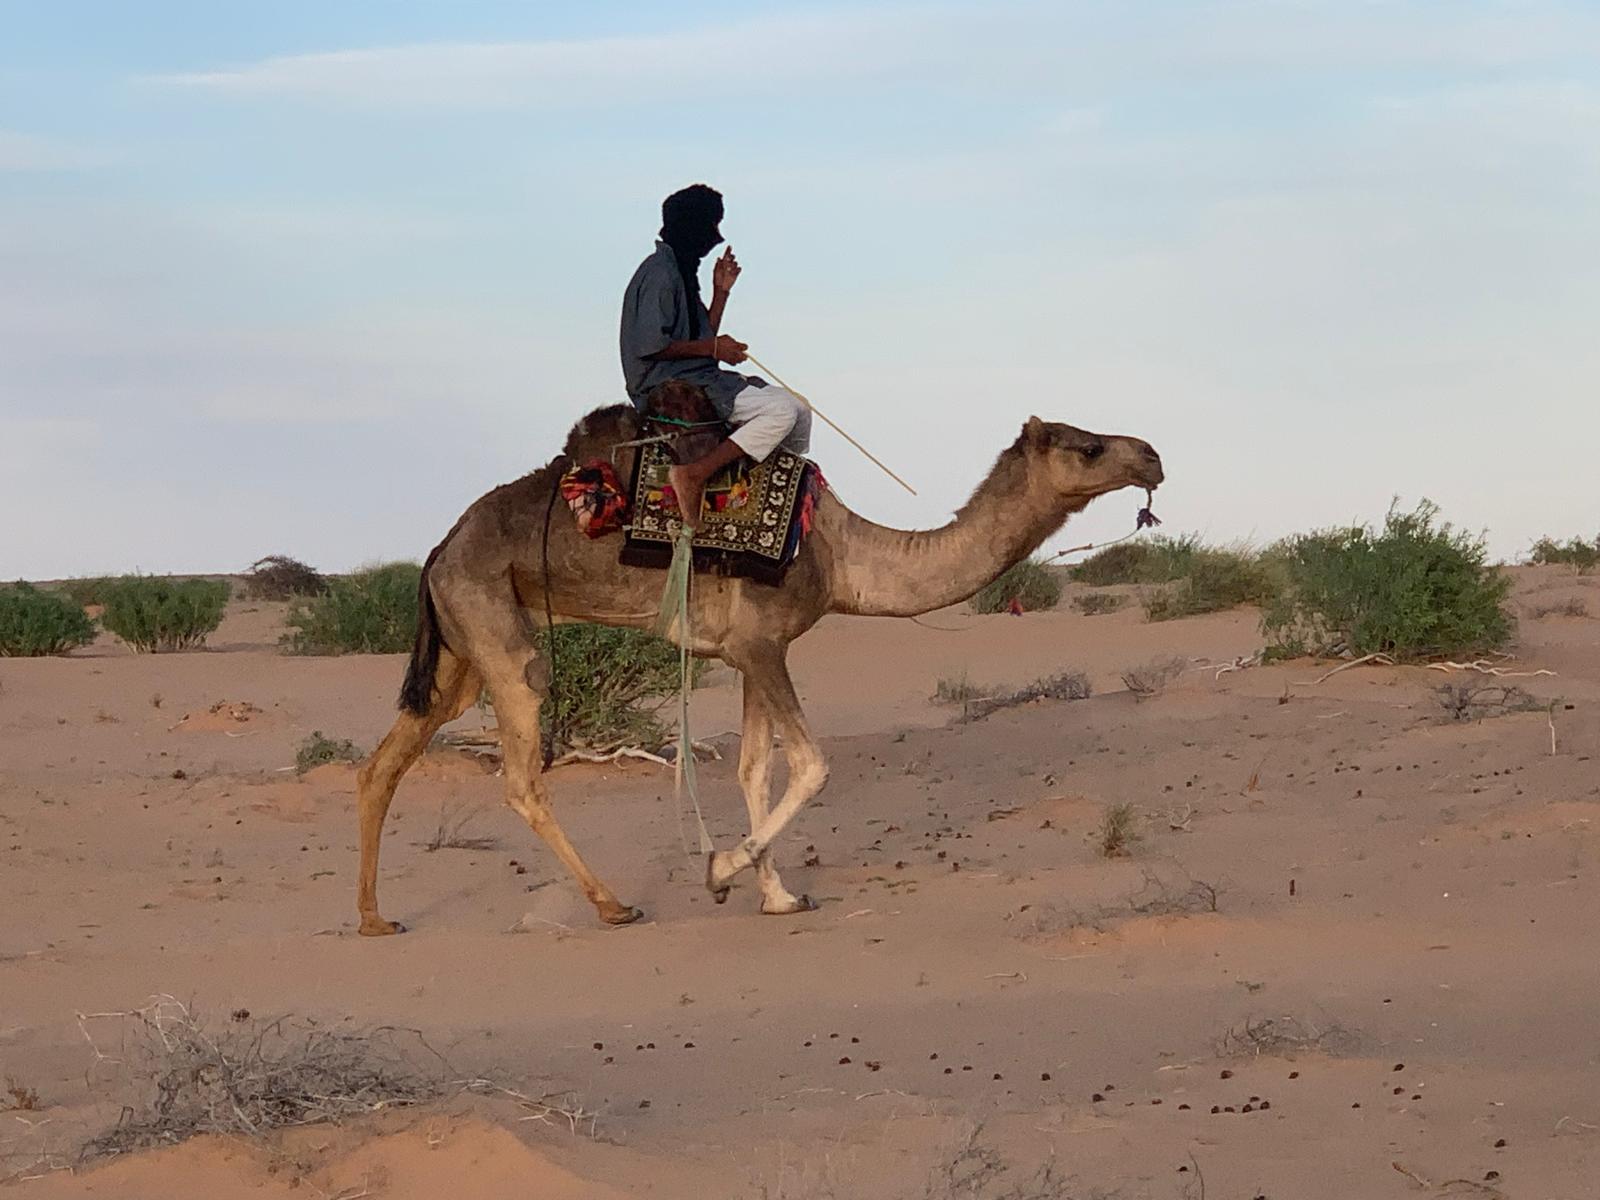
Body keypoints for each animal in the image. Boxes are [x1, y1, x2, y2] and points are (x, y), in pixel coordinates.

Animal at [356, 406, 1163, 934]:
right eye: (1090, 448)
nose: (1153, 455)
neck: (839, 554)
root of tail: (438, 550)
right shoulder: (762, 645)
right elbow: (809, 765)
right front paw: (722, 872)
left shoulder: (749, 653)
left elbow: (754, 769)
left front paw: (776, 895)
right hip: (500, 633)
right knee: (521, 772)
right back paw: (614, 905)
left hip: (460, 647)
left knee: (385, 764)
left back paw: (372, 919)